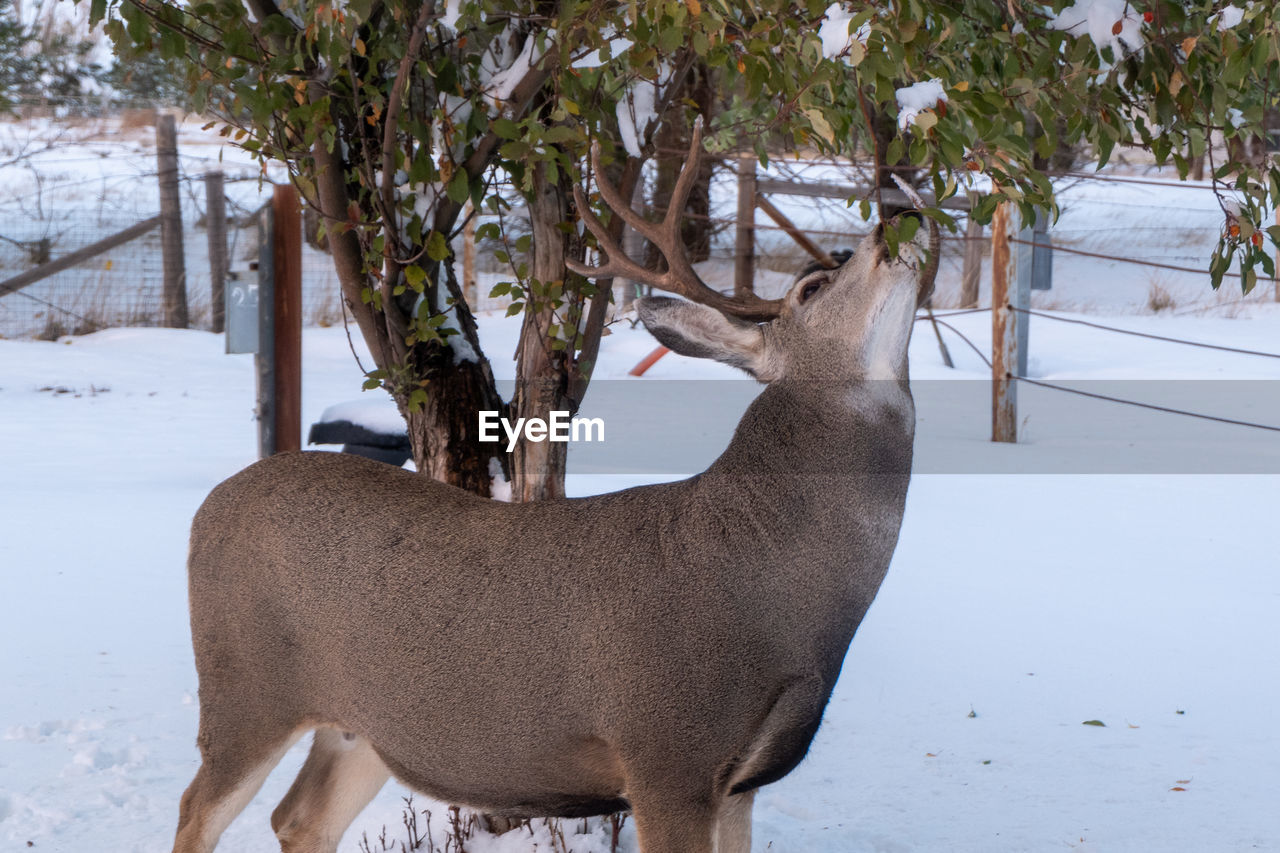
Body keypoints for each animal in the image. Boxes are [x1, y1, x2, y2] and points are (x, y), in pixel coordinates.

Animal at [175, 121, 942, 850]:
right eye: (814, 287)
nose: (901, 214)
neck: (776, 589)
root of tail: (206, 508)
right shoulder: (665, 753)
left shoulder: (741, 783)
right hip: (246, 686)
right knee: (197, 811)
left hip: (364, 724)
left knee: (299, 818)